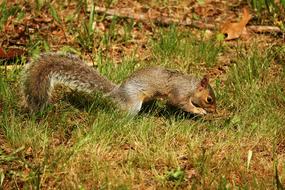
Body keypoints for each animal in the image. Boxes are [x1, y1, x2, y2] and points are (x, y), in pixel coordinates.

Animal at [21, 52, 216, 115]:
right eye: (209, 99)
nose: (215, 111)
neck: (191, 85)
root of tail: (117, 92)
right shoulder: (180, 92)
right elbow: (179, 103)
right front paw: (199, 111)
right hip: (133, 104)